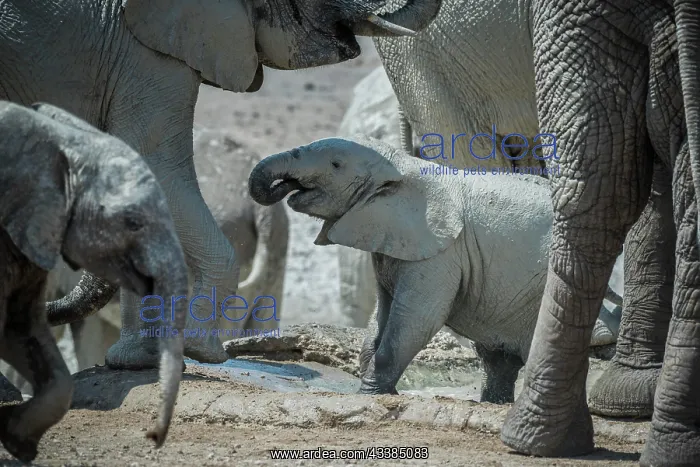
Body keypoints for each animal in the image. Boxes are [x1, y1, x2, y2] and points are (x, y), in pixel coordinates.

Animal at [246, 135, 624, 403]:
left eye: (336, 165)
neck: (401, 164)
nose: (282, 186)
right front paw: (374, 388)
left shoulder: (441, 251)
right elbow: (381, 315)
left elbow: (418, 317)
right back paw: (494, 404)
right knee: (497, 359)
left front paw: (369, 395)